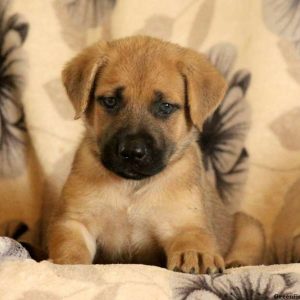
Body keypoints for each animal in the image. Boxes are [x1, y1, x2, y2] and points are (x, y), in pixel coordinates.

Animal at [46, 35, 237, 274]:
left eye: (165, 106)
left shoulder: (183, 223)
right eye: (110, 101)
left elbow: (193, 238)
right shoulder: (75, 220)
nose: (132, 152)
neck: (132, 187)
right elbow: (70, 245)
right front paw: (71, 264)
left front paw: (196, 254)